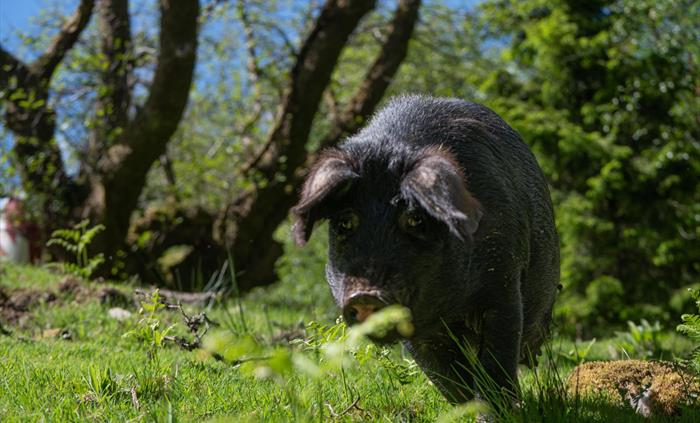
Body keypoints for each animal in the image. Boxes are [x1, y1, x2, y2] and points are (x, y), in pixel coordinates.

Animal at [292, 95, 559, 403]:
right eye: (344, 222)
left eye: (415, 219)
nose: (365, 294)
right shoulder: (420, 335)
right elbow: (449, 377)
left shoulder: (503, 284)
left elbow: (495, 365)